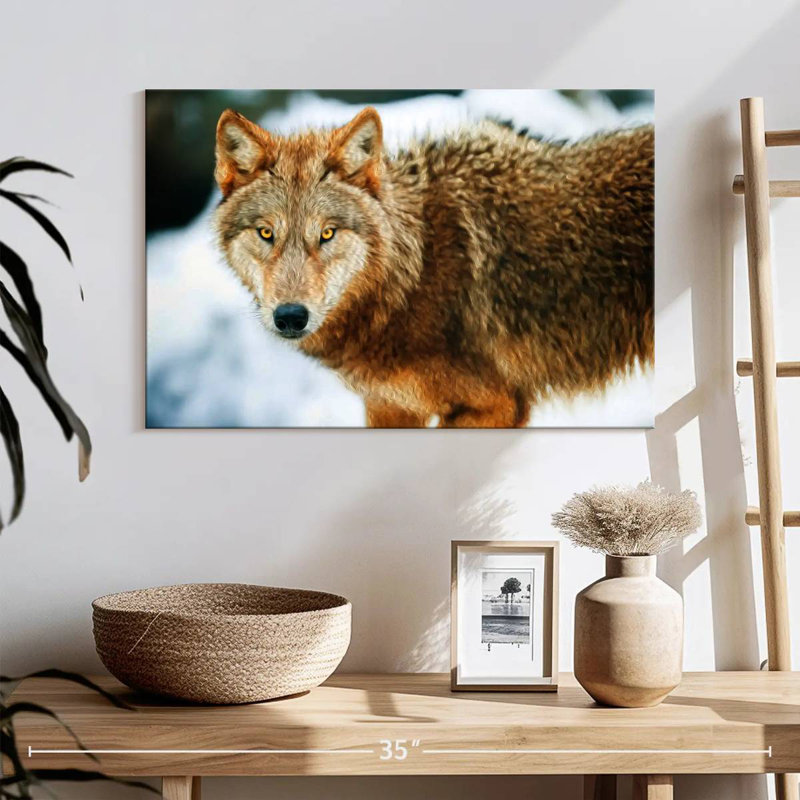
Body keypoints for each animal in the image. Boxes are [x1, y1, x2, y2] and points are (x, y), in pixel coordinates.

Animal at [213, 106, 654, 427]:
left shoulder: (497, 405)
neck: (414, 272)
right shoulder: (388, 407)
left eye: (327, 233)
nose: (290, 316)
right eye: (266, 233)